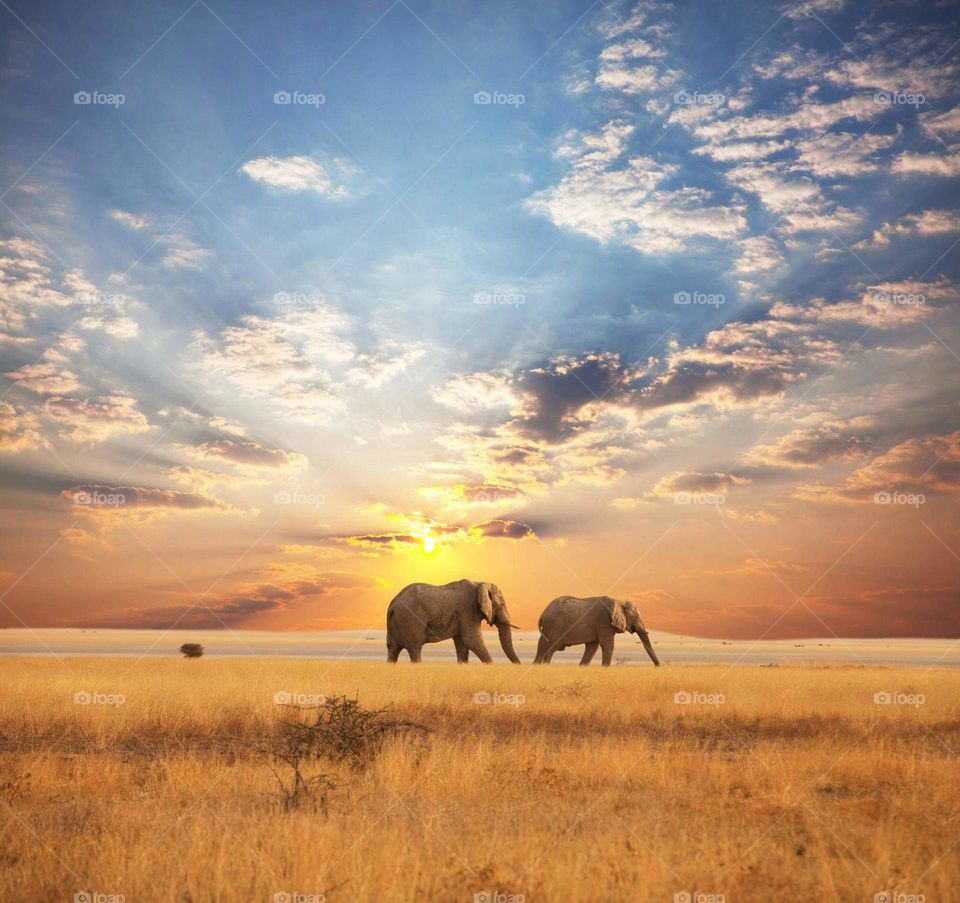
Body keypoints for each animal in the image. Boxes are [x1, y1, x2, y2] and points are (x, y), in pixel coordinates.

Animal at [386, 579, 521, 664]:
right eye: (501, 604)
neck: (480, 583)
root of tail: (393, 604)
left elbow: (462, 643)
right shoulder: (468, 610)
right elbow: (471, 640)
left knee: (393, 651)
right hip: (410, 621)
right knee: (415, 650)